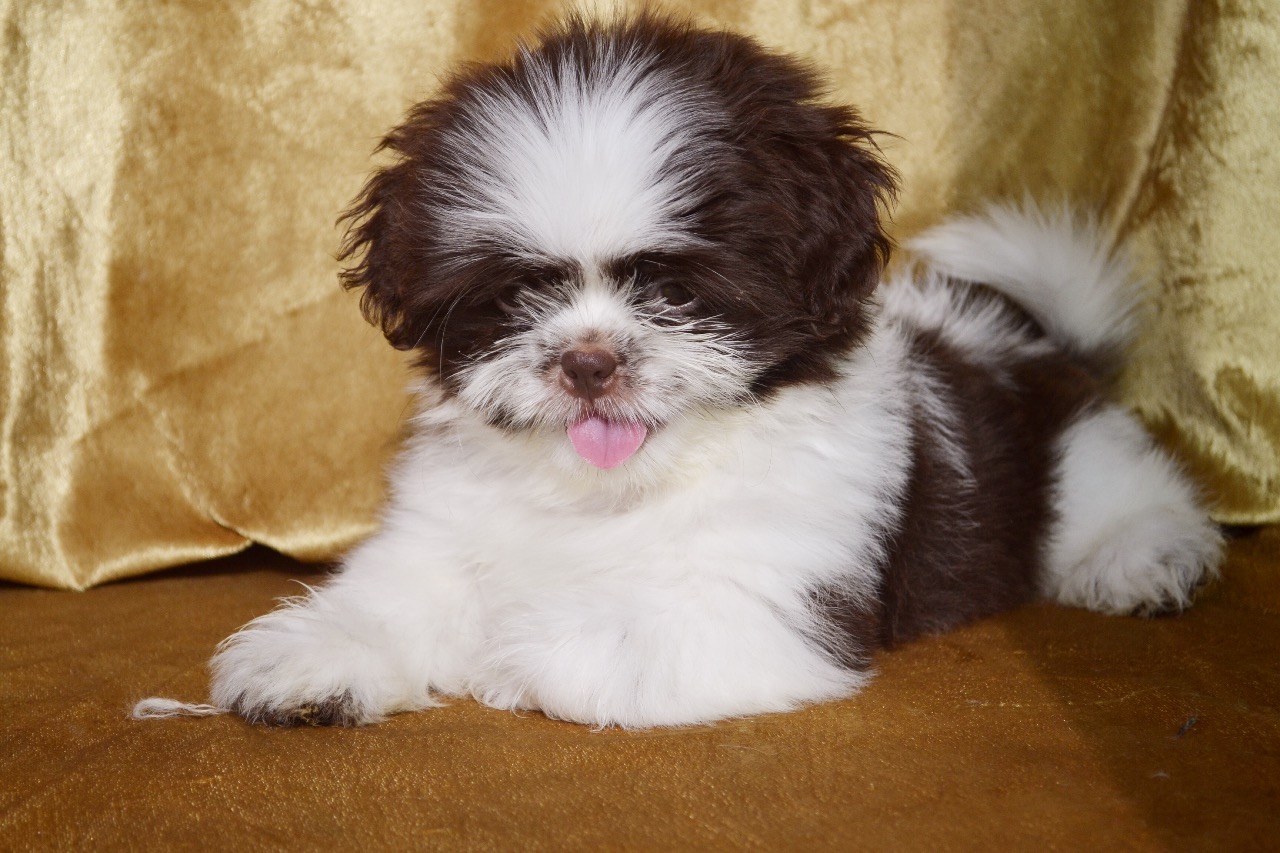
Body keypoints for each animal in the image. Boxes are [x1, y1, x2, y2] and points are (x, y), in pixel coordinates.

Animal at [141, 14, 1222, 729]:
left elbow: (607, 633)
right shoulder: (439, 529)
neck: (611, 494)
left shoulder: (766, 605)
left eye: (673, 287)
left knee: (1128, 494)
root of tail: (1031, 337)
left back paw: (1144, 557)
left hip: (1083, 457)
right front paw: (319, 656)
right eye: (519, 293)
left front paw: (506, 659)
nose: (587, 361)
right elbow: (403, 591)